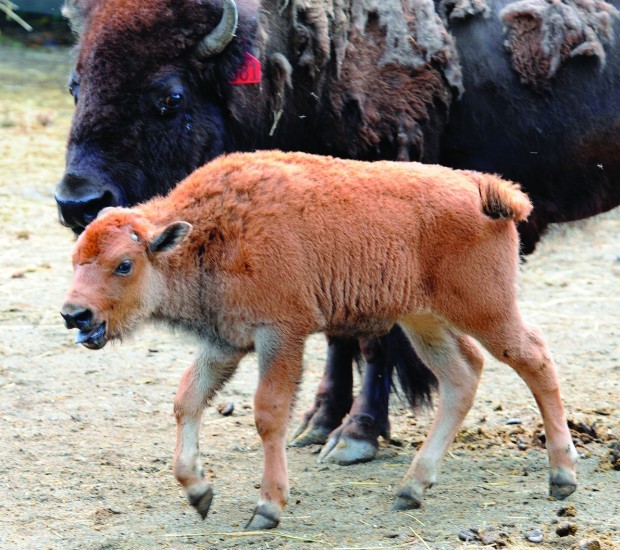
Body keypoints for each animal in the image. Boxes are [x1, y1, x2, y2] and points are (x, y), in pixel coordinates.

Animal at [55, 0, 616, 466]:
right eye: (75, 86)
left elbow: (373, 340)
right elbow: (336, 336)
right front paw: (319, 422)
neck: (312, 64)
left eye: (170, 98)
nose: (77, 201)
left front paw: (356, 436)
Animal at [60, 151, 580, 532]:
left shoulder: (280, 335)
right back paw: (411, 490)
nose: (74, 315)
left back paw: (562, 478)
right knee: (461, 377)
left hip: (485, 310)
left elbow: (268, 413)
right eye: (75, 257)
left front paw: (266, 509)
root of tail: (481, 186)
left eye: (124, 264)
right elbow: (187, 398)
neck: (206, 231)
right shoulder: (225, 342)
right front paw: (199, 492)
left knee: (535, 359)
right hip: (423, 320)